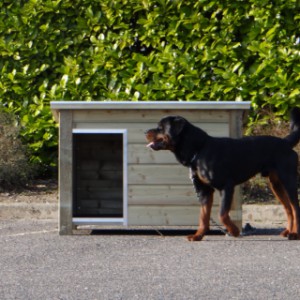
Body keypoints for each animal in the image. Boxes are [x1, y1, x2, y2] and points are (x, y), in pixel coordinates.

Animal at [145, 108, 300, 241]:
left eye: (160, 128)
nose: (145, 131)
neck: (199, 150)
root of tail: (285, 142)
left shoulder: (226, 186)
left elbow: (222, 214)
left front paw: (234, 231)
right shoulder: (204, 191)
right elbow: (203, 216)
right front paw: (198, 235)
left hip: (289, 179)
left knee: (295, 207)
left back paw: (295, 234)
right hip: (276, 184)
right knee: (288, 208)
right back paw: (288, 231)